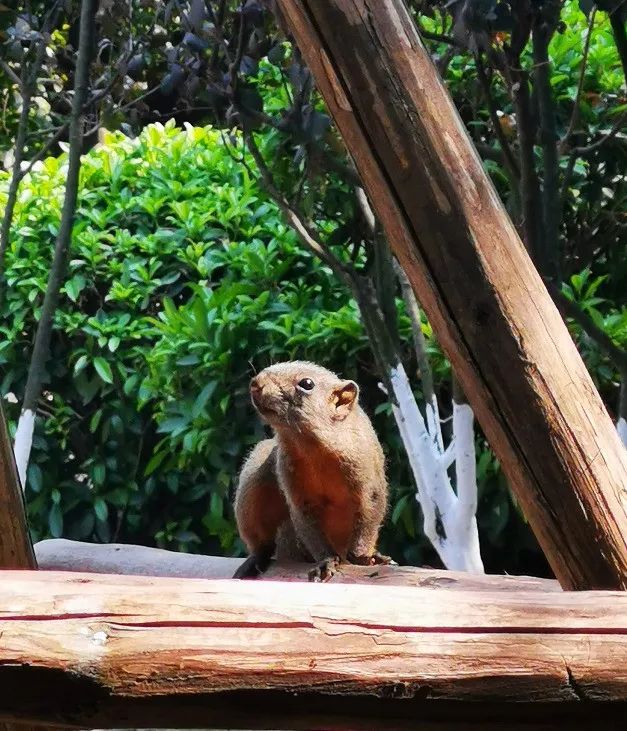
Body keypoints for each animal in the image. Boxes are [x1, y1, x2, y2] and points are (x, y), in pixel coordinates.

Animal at [236, 362, 392, 584]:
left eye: (307, 383)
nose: (256, 384)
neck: (312, 448)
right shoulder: (298, 494)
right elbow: (310, 529)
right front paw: (326, 563)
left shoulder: (369, 478)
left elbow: (370, 516)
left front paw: (363, 557)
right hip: (254, 484)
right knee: (263, 545)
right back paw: (255, 561)